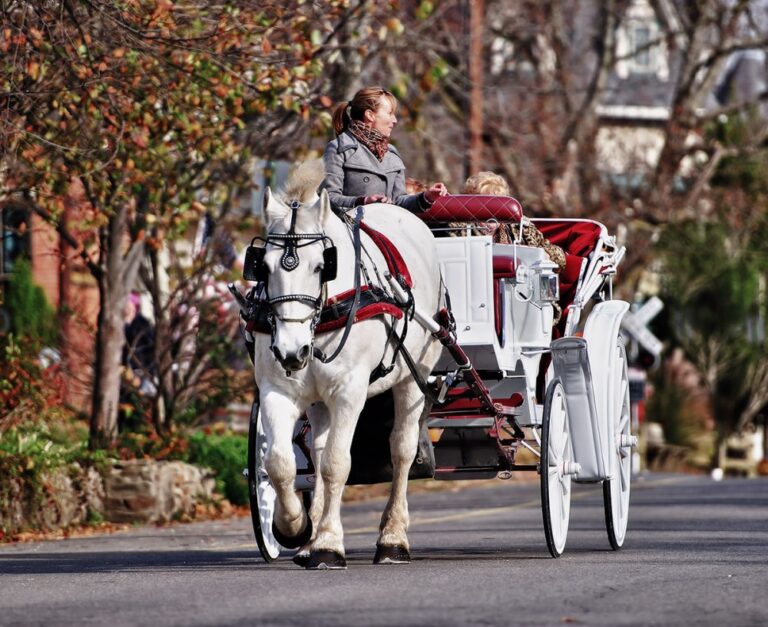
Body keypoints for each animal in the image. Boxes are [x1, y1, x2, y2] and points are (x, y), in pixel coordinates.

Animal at [252, 161, 440, 568]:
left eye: (322, 266)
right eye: (264, 267)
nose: (291, 352)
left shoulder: (349, 392)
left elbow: (338, 463)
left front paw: (327, 544)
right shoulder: (276, 390)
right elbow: (279, 463)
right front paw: (295, 527)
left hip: (414, 378)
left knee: (401, 449)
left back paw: (393, 538)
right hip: (317, 400)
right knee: (317, 451)